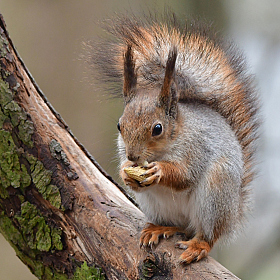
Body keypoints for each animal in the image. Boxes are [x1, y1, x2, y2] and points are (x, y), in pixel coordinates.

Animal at [90, 13, 260, 262]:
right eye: (119, 125)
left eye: (157, 128)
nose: (132, 156)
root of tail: (233, 216)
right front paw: (125, 173)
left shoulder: (198, 147)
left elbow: (185, 176)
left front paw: (159, 171)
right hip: (156, 206)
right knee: (181, 226)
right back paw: (161, 228)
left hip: (215, 195)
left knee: (208, 235)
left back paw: (199, 245)